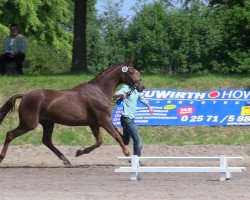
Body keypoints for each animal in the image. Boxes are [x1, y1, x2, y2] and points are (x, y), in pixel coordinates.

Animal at [0, 61, 145, 166]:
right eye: (131, 72)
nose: (141, 87)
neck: (99, 91)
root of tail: (25, 95)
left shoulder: (94, 123)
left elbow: (99, 142)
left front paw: (79, 152)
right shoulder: (103, 120)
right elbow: (117, 137)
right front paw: (128, 156)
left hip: (48, 123)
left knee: (47, 141)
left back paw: (66, 160)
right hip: (29, 124)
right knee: (10, 135)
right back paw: (1, 157)